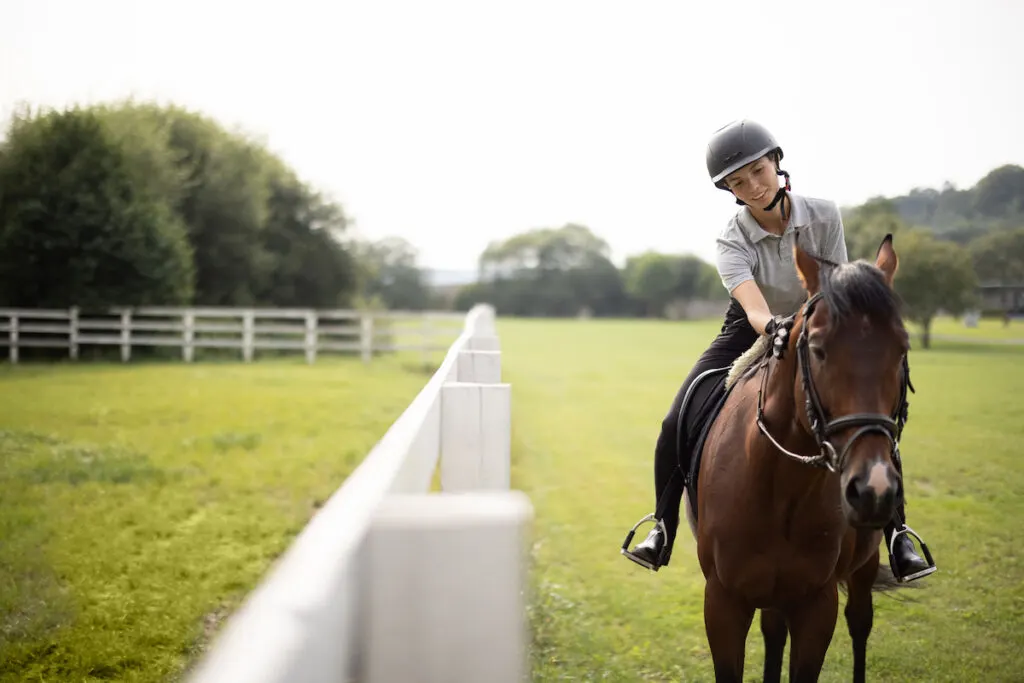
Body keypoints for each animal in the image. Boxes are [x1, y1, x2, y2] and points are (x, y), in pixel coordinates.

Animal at [684, 235, 917, 683]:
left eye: (902, 349)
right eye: (818, 349)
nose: (874, 489)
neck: (780, 487)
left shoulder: (816, 604)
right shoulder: (722, 602)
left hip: (863, 566)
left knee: (859, 624)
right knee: (775, 632)